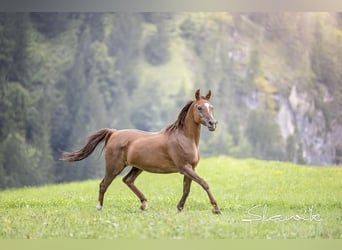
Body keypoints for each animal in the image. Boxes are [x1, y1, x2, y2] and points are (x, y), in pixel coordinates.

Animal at [60, 89, 220, 213]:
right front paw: (216, 208)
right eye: (199, 107)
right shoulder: (184, 167)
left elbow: (186, 190)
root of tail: (113, 133)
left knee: (127, 180)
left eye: (211, 107)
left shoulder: (190, 168)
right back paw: (99, 207)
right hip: (114, 167)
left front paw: (179, 207)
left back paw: (144, 204)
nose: (212, 124)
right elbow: (204, 183)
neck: (184, 138)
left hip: (137, 167)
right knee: (104, 184)